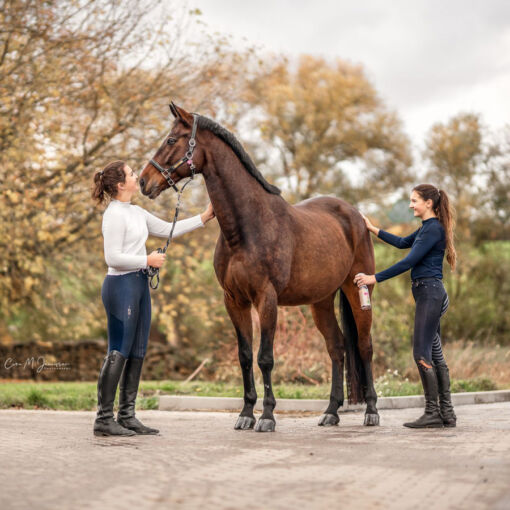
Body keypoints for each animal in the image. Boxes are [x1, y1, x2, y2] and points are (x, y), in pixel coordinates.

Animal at [139, 102, 378, 430]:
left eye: (172, 140)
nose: (143, 181)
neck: (246, 227)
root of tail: (355, 216)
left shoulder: (267, 298)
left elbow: (265, 357)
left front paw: (266, 416)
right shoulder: (234, 300)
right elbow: (244, 355)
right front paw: (246, 413)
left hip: (358, 290)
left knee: (365, 346)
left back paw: (371, 411)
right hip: (321, 301)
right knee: (337, 347)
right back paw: (331, 411)